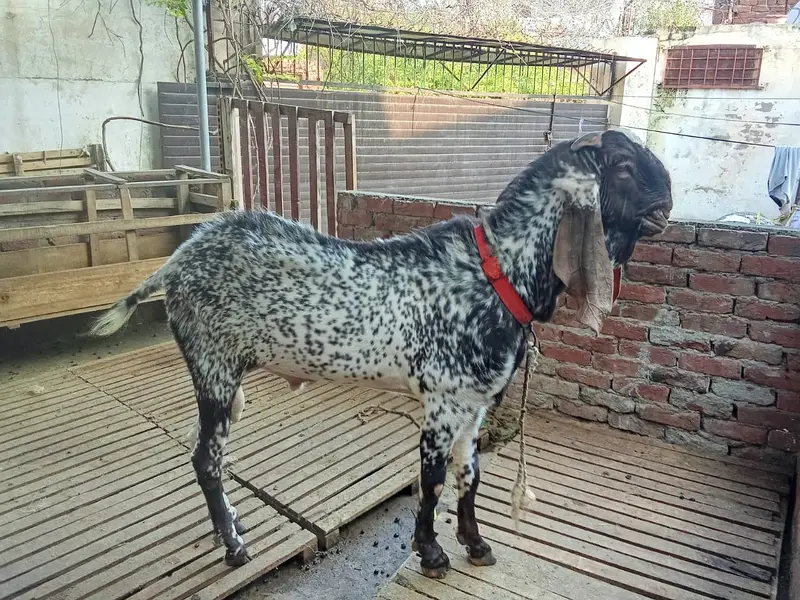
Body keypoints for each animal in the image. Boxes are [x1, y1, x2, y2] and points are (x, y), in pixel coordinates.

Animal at [89, 129, 672, 578]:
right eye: (623, 167)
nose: (667, 201)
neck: (495, 274)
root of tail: (175, 263)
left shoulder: (473, 405)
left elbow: (470, 475)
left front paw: (477, 544)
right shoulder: (442, 400)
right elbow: (431, 480)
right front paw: (432, 553)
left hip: (221, 377)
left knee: (204, 453)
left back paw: (228, 527)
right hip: (214, 368)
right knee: (206, 459)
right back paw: (234, 547)